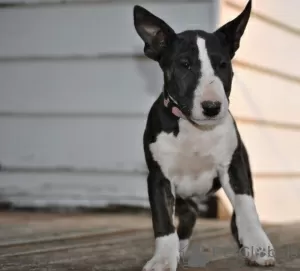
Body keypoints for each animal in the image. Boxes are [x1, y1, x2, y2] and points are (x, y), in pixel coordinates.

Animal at [134, 1, 276, 270]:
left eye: (223, 65)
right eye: (184, 65)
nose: (212, 107)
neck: (195, 128)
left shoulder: (234, 166)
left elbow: (246, 206)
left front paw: (258, 245)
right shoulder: (158, 178)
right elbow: (163, 221)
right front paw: (163, 259)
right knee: (186, 219)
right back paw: (177, 250)